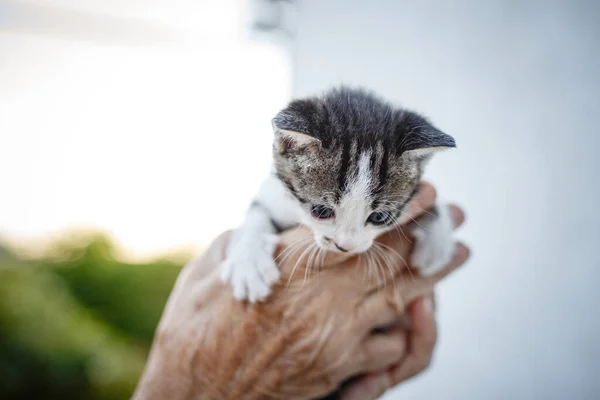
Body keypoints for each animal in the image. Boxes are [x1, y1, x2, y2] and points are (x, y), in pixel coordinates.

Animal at [220, 86, 454, 300]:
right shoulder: (276, 192)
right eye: (321, 211)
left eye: (379, 217)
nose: (346, 246)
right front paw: (248, 261)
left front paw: (438, 237)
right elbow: (257, 213)